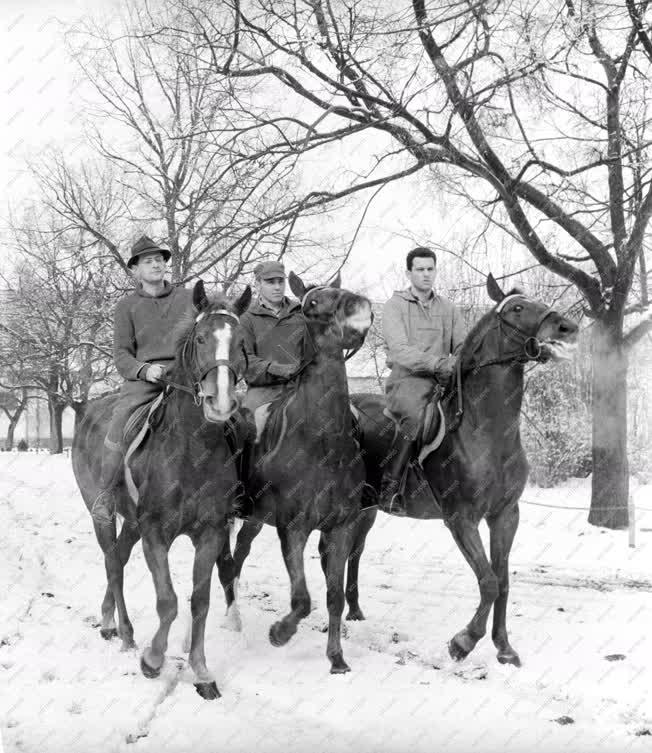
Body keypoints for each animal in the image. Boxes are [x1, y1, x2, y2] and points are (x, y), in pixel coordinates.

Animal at [72, 280, 252, 696]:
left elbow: (199, 600)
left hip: (132, 523)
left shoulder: (211, 533)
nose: (221, 403)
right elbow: (168, 600)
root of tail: (87, 410)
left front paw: (201, 670)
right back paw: (122, 630)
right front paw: (153, 660)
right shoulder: (156, 532)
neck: (191, 448)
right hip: (101, 512)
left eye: (240, 342)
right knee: (112, 562)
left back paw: (110, 620)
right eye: (201, 339)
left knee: (119, 558)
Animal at [218, 274, 372, 672]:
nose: (361, 308)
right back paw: (231, 617)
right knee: (227, 560)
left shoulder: (341, 528)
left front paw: (337, 658)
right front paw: (279, 633)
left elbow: (334, 596)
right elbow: (302, 599)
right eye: (311, 304)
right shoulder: (293, 528)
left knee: (239, 553)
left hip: (255, 519)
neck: (321, 442)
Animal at [346, 274, 580, 664]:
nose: (567, 327)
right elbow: (488, 581)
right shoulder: (461, 519)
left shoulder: (505, 515)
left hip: (366, 509)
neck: (485, 430)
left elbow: (502, 581)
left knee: (351, 551)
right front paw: (464, 641)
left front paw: (504, 648)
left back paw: (352, 611)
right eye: (518, 308)